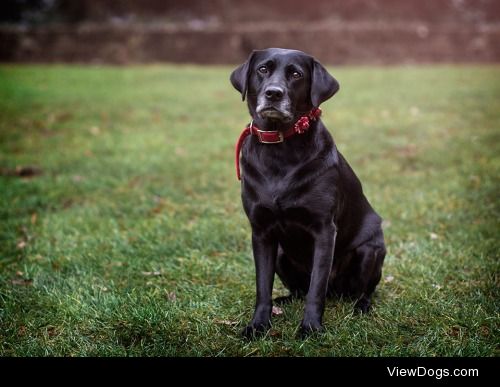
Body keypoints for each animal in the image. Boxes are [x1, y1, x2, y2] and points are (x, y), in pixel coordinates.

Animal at [230, 49, 386, 340]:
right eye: (262, 69)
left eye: (296, 74)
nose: (274, 93)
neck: (280, 149)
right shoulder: (261, 231)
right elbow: (262, 286)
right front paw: (258, 325)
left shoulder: (324, 230)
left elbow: (317, 288)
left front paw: (311, 328)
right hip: (282, 254)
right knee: (299, 290)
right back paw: (283, 300)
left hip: (369, 251)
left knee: (363, 291)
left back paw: (361, 307)